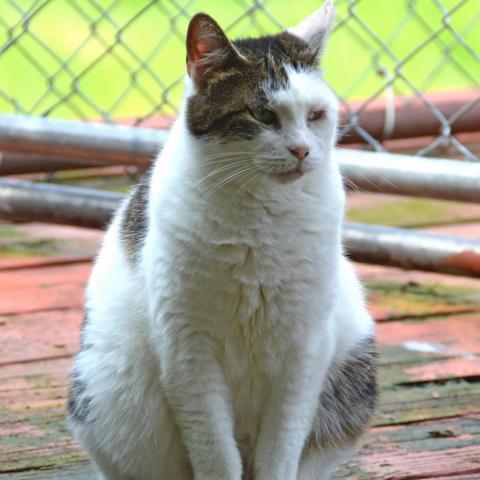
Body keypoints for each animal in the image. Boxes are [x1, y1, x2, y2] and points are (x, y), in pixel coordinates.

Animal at [67, 1, 376, 478]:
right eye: (263, 115)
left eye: (316, 115)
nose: (303, 150)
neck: (261, 216)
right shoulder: (188, 350)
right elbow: (215, 452)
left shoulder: (305, 348)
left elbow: (280, 450)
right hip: (109, 388)